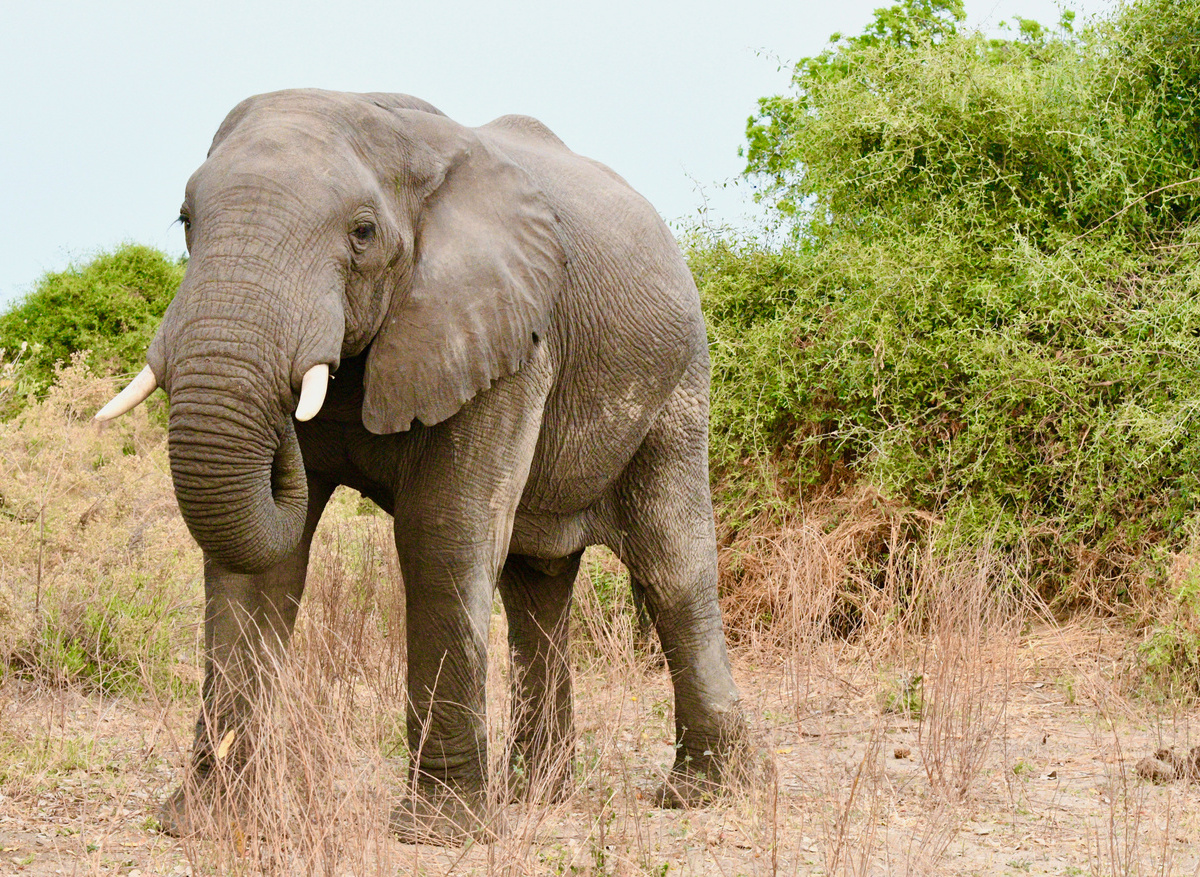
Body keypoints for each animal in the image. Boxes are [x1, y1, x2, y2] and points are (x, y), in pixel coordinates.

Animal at [97, 88, 747, 844]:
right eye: (185, 221)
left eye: (362, 233)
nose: (286, 427)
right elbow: (259, 565)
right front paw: (206, 820)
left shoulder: (505, 331)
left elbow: (442, 534)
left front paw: (439, 831)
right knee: (535, 588)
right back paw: (534, 795)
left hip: (679, 381)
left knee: (672, 568)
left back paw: (701, 792)